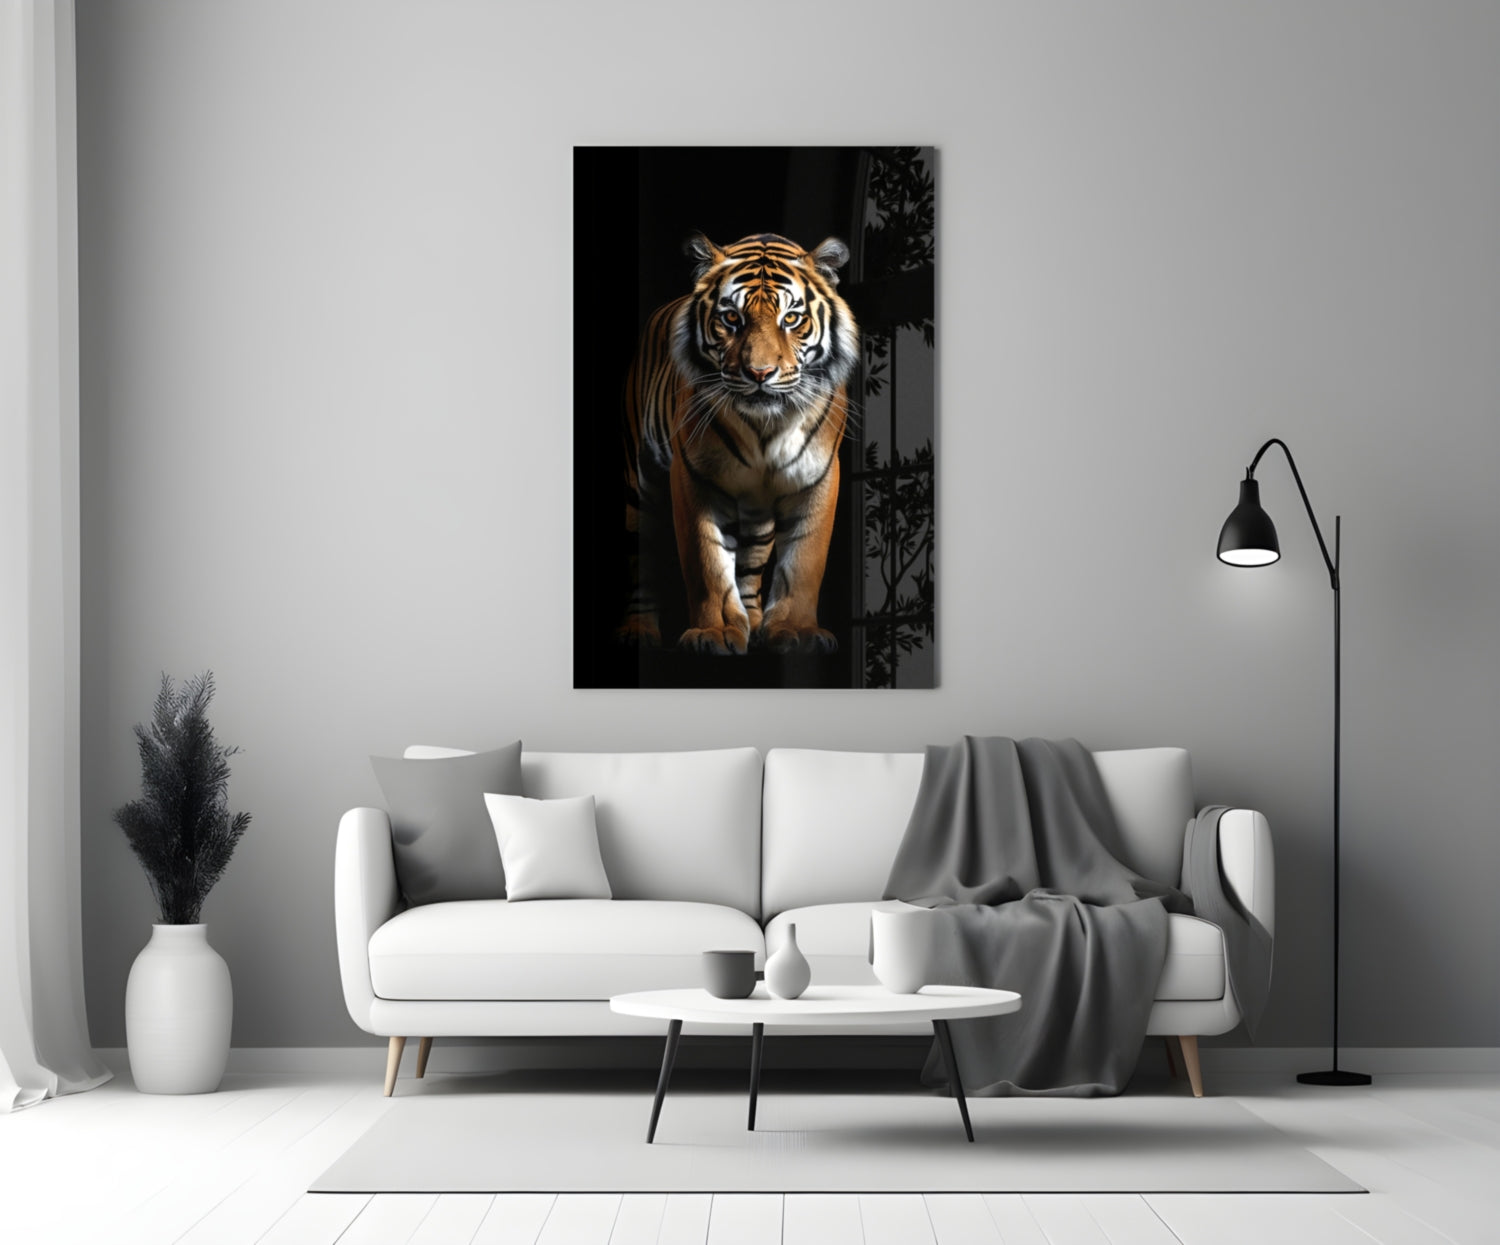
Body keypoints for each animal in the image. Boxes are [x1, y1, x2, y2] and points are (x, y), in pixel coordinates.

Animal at [619, 232, 860, 655]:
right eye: (731, 318)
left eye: (791, 318)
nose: (760, 373)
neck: (767, 427)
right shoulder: (693, 476)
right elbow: (707, 562)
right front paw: (713, 633)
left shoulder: (818, 475)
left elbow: (805, 559)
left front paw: (796, 631)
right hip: (640, 481)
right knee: (641, 557)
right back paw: (639, 630)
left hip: (757, 510)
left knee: (750, 563)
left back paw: (755, 622)